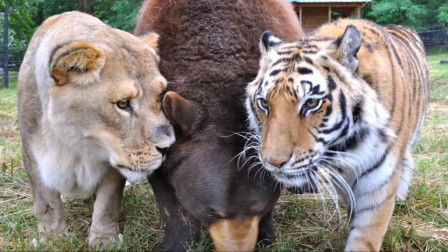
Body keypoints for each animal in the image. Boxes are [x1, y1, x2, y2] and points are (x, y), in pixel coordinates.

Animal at [245, 18, 430, 251]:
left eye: (311, 103)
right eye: (263, 103)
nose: (273, 162)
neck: (346, 146)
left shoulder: (379, 183)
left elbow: (365, 236)